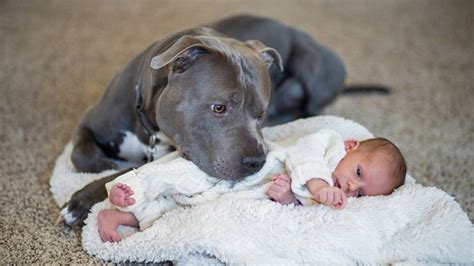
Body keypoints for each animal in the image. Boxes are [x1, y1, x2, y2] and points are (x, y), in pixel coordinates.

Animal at [62, 15, 374, 227]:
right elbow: (81, 156)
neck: (147, 125)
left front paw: (84, 198)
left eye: (260, 113)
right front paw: (104, 168)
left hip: (318, 66)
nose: (256, 162)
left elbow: (126, 172)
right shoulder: (88, 122)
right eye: (218, 108)